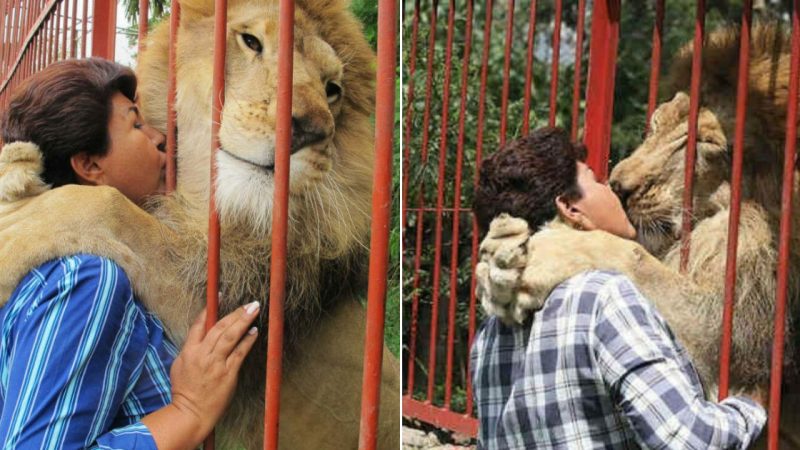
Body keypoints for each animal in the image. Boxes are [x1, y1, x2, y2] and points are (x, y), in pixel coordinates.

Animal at [476, 23, 800, 446]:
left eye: (705, 143)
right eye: (656, 125)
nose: (618, 186)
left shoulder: (737, 341)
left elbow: (634, 257)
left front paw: (545, 251)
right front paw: (496, 264)